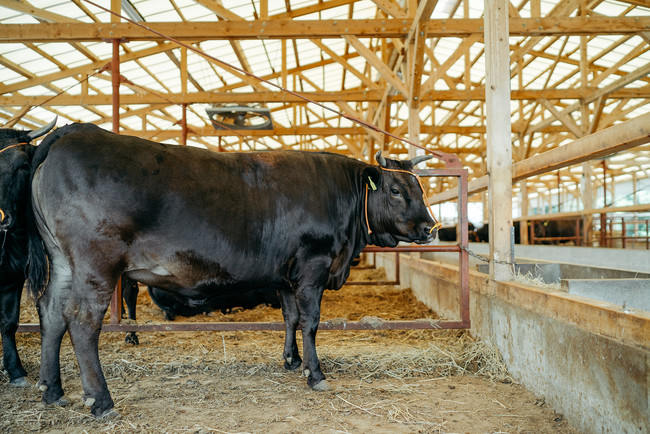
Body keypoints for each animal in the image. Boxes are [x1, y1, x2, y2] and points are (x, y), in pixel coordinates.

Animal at [26, 123, 436, 418]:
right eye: (396, 190)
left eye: (420, 188)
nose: (431, 227)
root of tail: (75, 132)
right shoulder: (312, 266)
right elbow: (310, 321)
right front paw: (314, 373)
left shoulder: (284, 275)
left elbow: (290, 317)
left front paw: (291, 361)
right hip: (96, 262)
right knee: (81, 320)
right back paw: (100, 401)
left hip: (62, 261)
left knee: (51, 313)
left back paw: (52, 390)